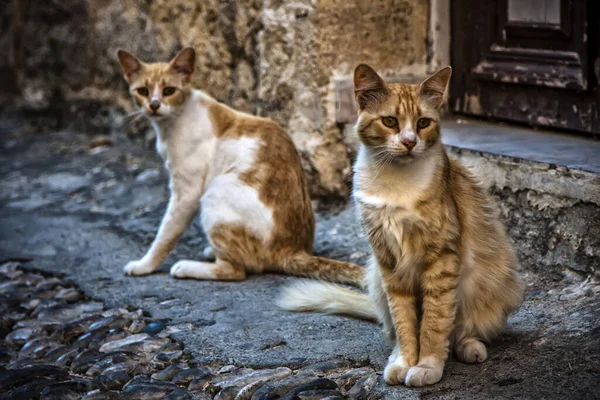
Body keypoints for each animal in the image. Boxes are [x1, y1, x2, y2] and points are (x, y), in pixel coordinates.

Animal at [116, 48, 360, 286]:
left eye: (168, 90)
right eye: (143, 91)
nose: (154, 105)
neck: (171, 123)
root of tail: (294, 250)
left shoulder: (187, 193)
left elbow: (165, 234)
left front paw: (145, 265)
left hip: (215, 193)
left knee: (234, 271)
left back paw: (188, 267)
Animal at [278, 65, 524, 388]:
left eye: (423, 123)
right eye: (390, 121)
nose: (409, 142)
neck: (395, 183)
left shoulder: (441, 257)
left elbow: (435, 321)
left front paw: (427, 365)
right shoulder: (388, 260)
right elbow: (405, 321)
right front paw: (406, 361)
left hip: (494, 281)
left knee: (462, 329)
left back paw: (469, 347)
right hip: (375, 277)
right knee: (394, 329)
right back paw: (396, 356)